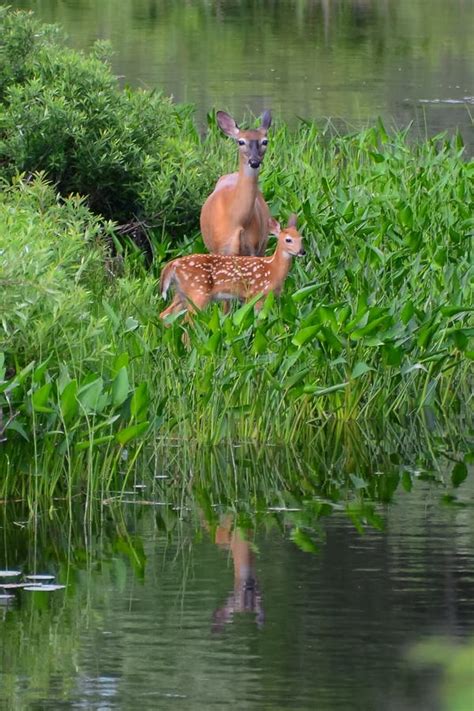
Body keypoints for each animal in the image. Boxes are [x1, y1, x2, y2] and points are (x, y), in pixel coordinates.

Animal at [159, 214, 304, 320]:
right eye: (288, 239)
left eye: (301, 238)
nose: (302, 251)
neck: (273, 269)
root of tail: (173, 264)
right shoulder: (258, 294)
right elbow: (258, 320)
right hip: (198, 292)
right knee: (188, 319)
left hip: (181, 293)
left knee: (165, 315)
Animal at [200, 110, 272, 258]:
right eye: (241, 141)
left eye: (265, 141)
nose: (254, 162)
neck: (237, 220)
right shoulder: (220, 249)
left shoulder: (254, 249)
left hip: (263, 244)